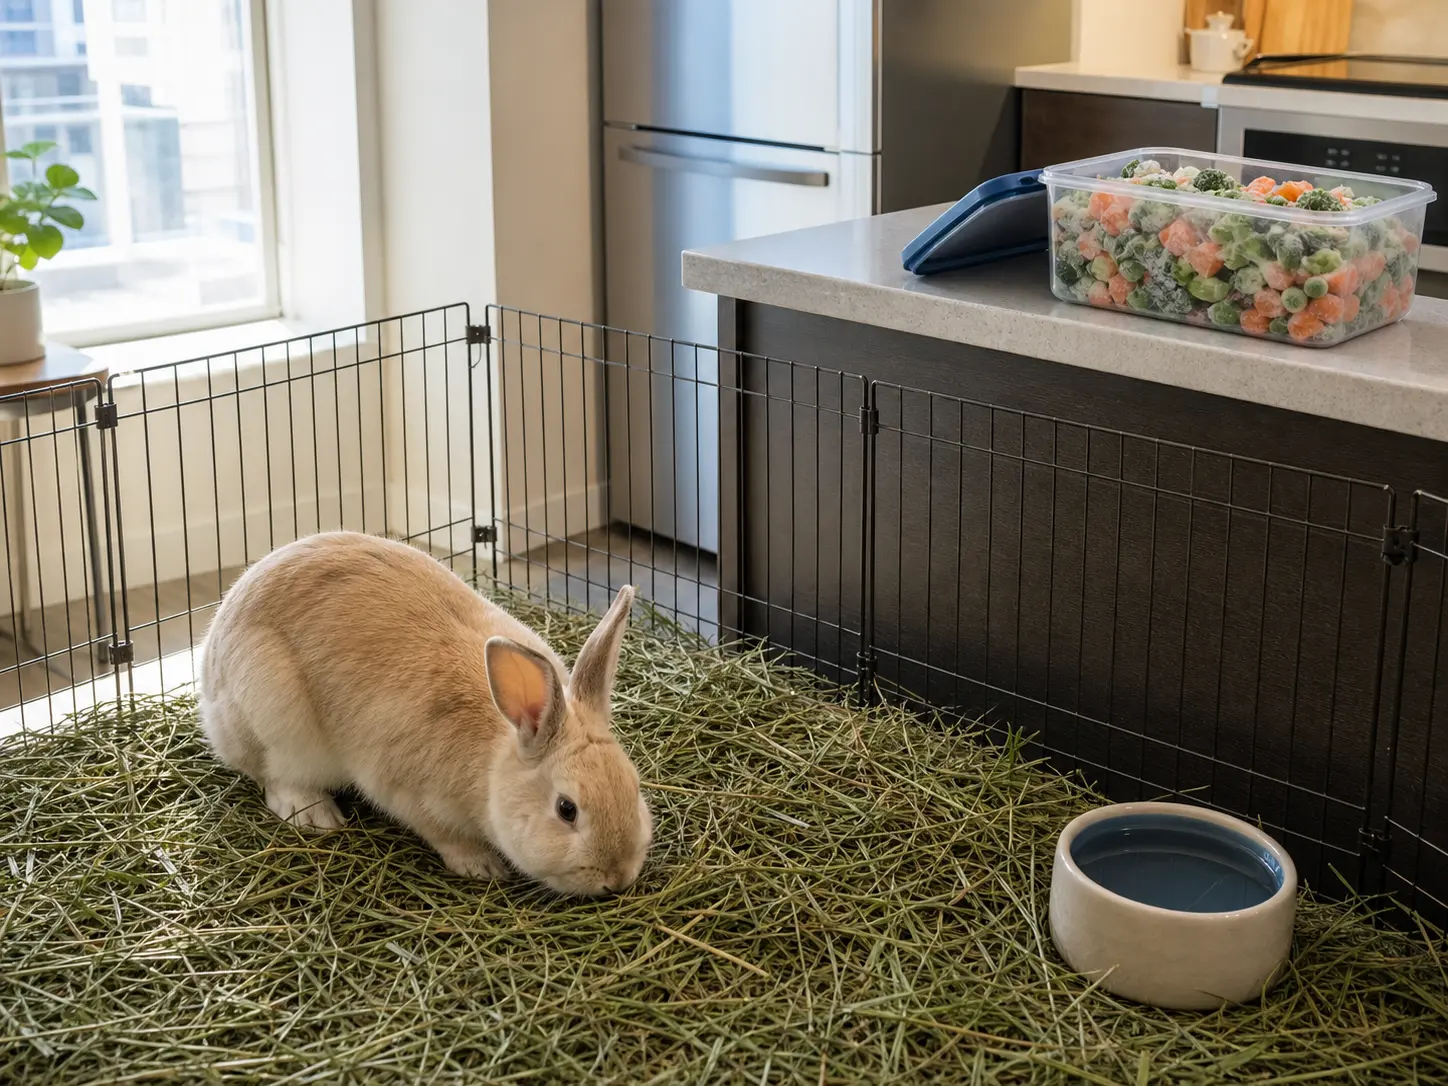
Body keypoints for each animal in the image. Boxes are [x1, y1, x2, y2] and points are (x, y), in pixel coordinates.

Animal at [198, 531, 652, 898]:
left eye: (634, 786)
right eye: (566, 809)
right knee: (273, 779)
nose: (617, 877)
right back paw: (316, 815)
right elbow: (443, 835)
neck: (492, 760)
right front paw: (481, 865)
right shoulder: (409, 793)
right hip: (275, 721)